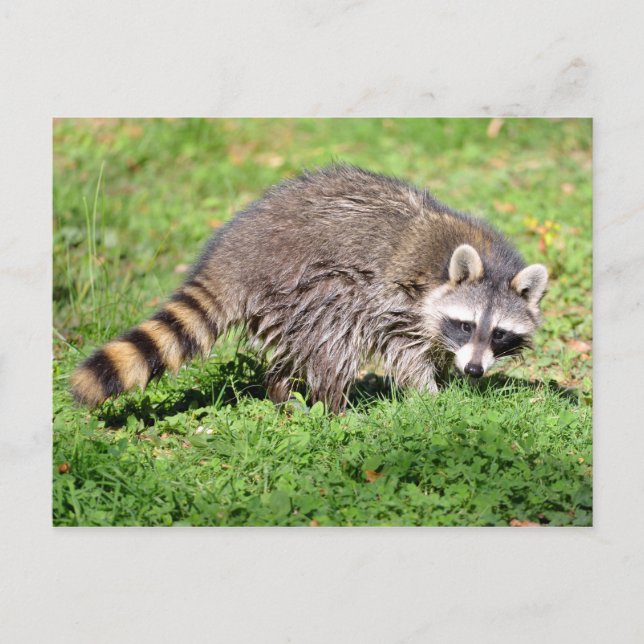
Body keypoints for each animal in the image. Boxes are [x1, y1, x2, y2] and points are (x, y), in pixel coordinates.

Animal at [71, 164, 548, 413]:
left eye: (499, 333)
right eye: (466, 325)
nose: (475, 371)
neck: (489, 262)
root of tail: (235, 254)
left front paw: (453, 376)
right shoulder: (400, 298)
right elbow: (404, 349)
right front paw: (430, 395)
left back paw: (283, 391)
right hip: (308, 283)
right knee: (336, 332)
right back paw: (333, 406)